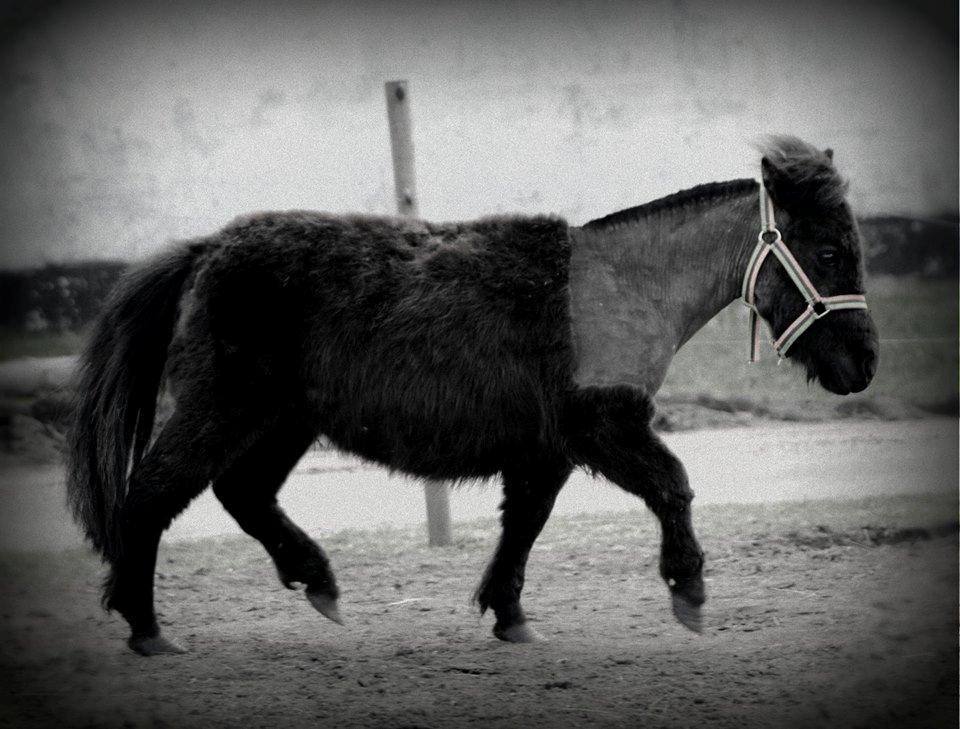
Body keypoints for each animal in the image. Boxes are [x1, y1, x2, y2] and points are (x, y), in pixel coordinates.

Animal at [67, 136, 876, 656]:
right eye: (828, 249)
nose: (864, 364)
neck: (617, 289)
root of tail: (207, 249)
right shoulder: (604, 427)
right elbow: (672, 486)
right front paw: (689, 591)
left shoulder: (546, 449)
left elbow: (524, 525)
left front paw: (509, 615)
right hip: (223, 410)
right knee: (153, 494)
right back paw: (146, 627)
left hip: (281, 422)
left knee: (243, 493)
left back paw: (317, 581)